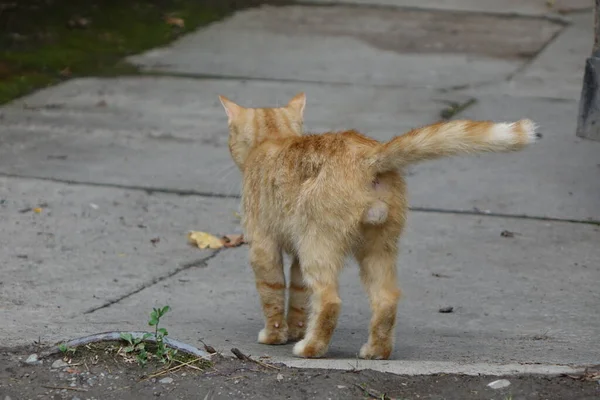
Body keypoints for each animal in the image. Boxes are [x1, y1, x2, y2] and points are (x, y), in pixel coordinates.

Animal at [218, 93, 536, 360]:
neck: (274, 140)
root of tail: (369, 155)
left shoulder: (263, 246)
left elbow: (272, 292)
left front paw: (275, 335)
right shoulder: (295, 255)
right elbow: (298, 296)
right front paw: (295, 329)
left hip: (318, 245)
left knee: (330, 300)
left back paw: (310, 348)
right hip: (378, 248)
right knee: (386, 300)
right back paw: (376, 351)